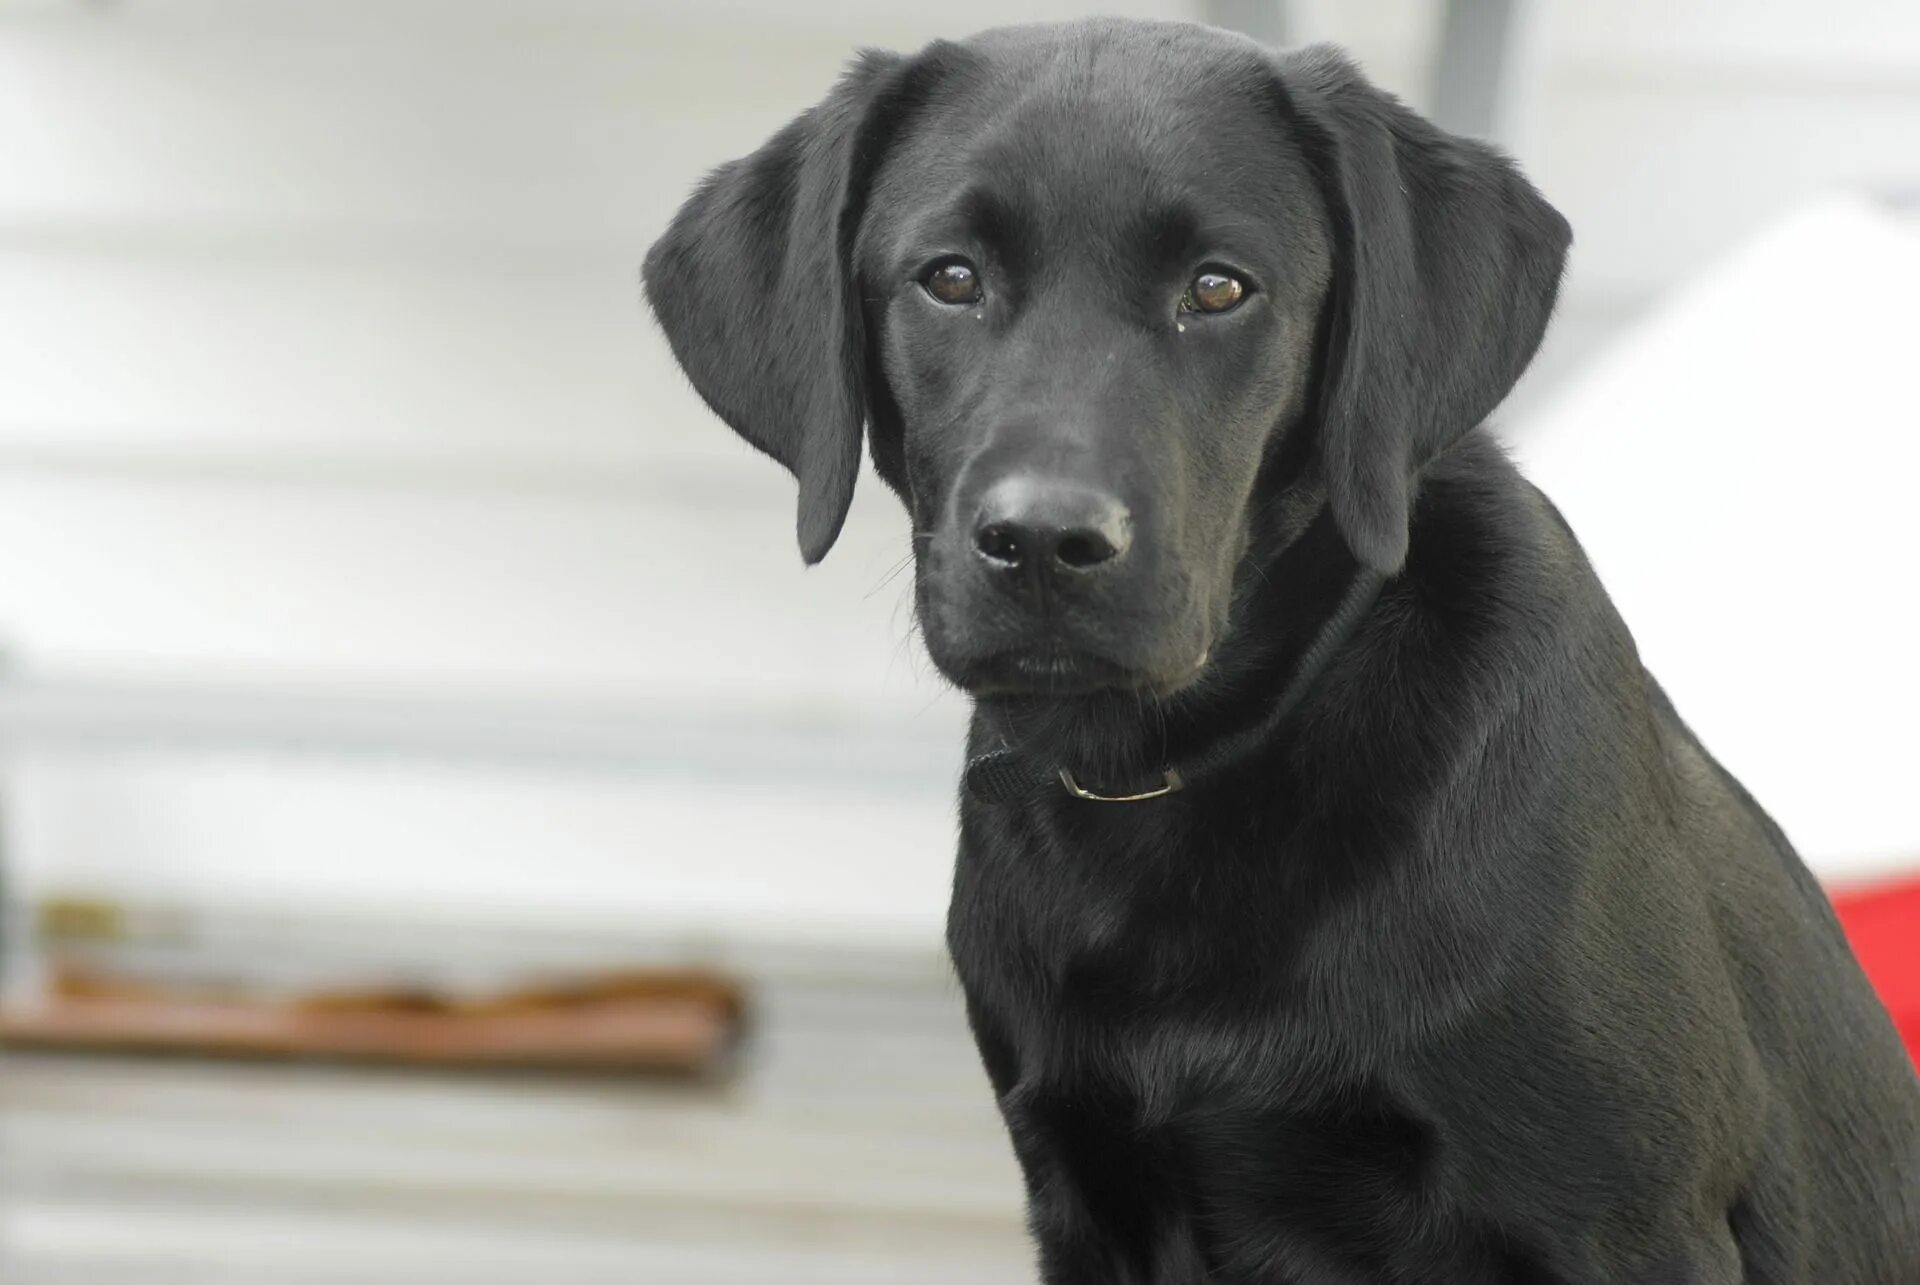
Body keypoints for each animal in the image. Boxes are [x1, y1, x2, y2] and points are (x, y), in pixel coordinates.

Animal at [648, 15, 1920, 1275]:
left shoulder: (1622, 1218)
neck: (1176, 779)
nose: (1046, 542)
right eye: (949, 278)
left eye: (1218, 288)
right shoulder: (1085, 1188)